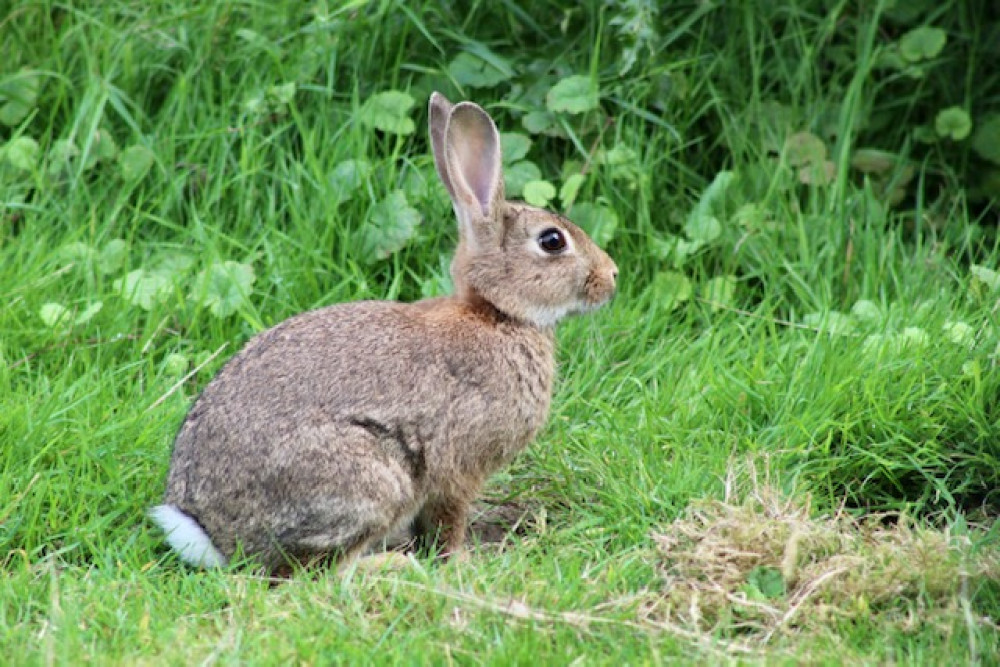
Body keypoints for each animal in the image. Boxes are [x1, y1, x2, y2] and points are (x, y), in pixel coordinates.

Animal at [148, 91, 616, 572]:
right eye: (552, 241)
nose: (611, 277)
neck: (497, 314)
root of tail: (214, 535)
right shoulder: (457, 469)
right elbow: (448, 522)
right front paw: (463, 561)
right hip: (371, 480)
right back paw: (394, 565)